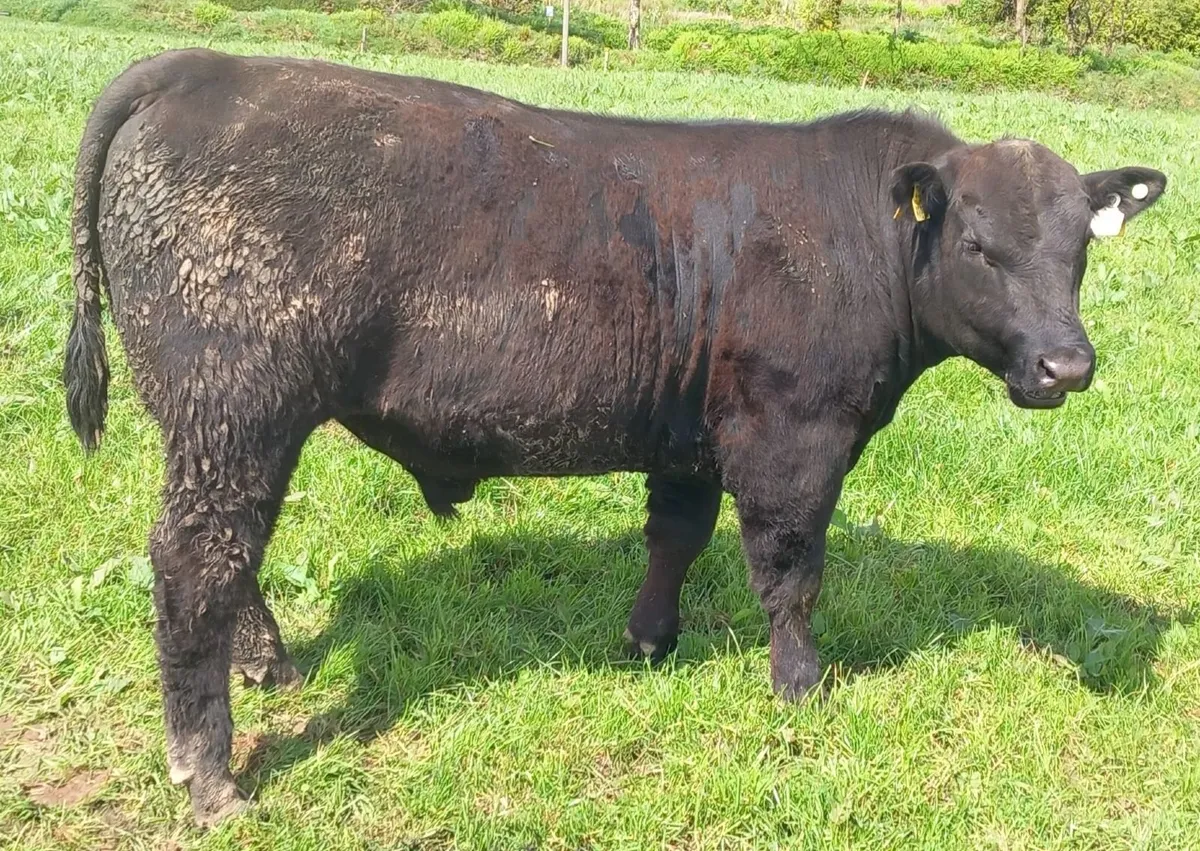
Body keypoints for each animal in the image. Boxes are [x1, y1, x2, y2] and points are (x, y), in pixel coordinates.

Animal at [65, 47, 1165, 826]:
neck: (856, 235)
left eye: (1081, 247)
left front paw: (649, 639)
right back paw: (211, 775)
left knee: (227, 554)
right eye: (978, 243)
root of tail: (204, 66)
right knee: (196, 560)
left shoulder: (688, 433)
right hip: (235, 407)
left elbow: (674, 535)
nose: (1067, 364)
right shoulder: (794, 435)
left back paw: (270, 665)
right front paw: (800, 685)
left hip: (227, 426)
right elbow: (791, 571)